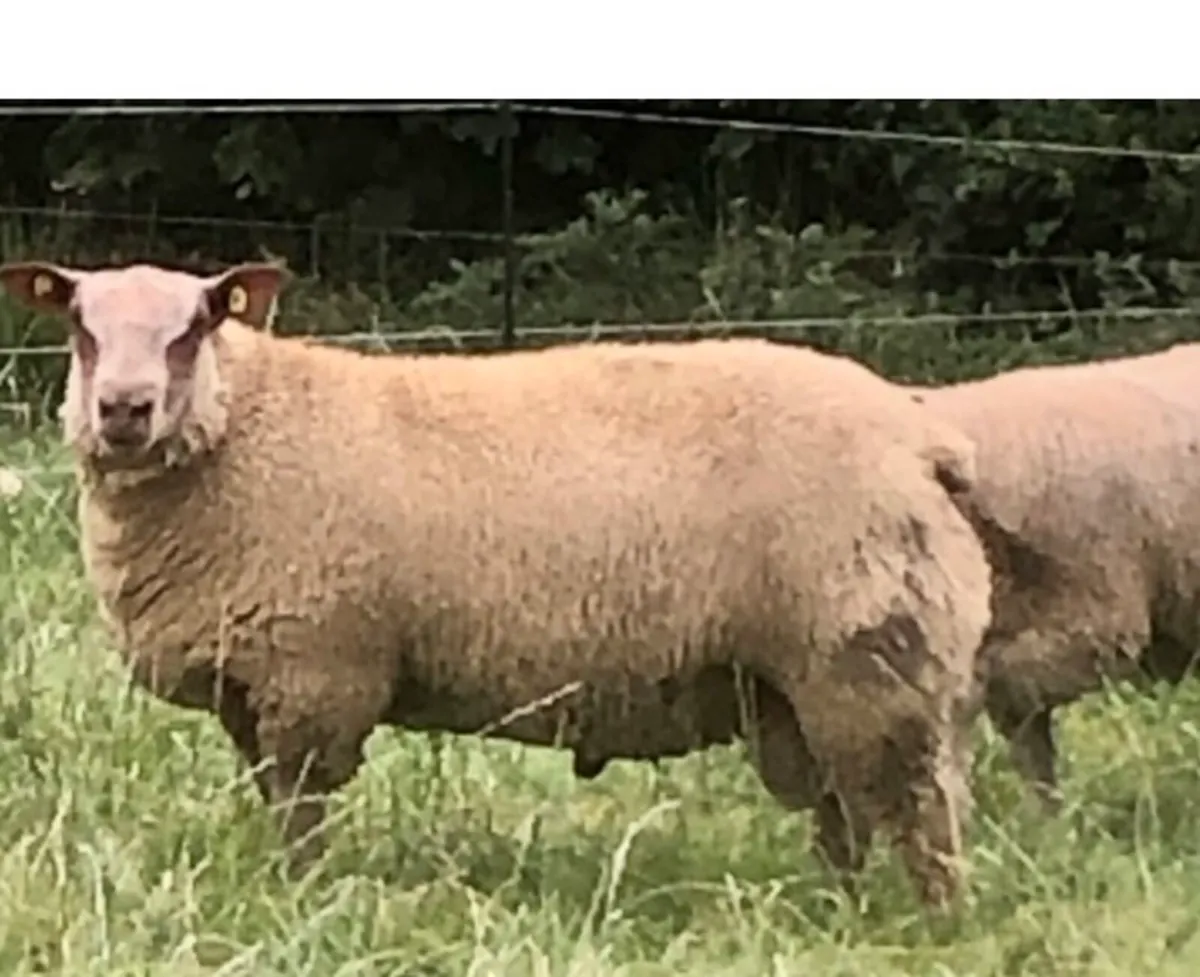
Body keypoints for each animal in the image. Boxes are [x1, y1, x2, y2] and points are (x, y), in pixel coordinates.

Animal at [0, 259, 996, 908]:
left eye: (195, 326)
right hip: (802, 682)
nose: (123, 410)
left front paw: (302, 902)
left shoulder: (315, 670)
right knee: (845, 812)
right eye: (80, 325)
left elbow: (303, 809)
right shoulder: (257, 682)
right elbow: (282, 805)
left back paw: (930, 927)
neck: (243, 428)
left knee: (925, 810)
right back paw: (837, 911)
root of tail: (924, 440)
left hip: (873, 655)